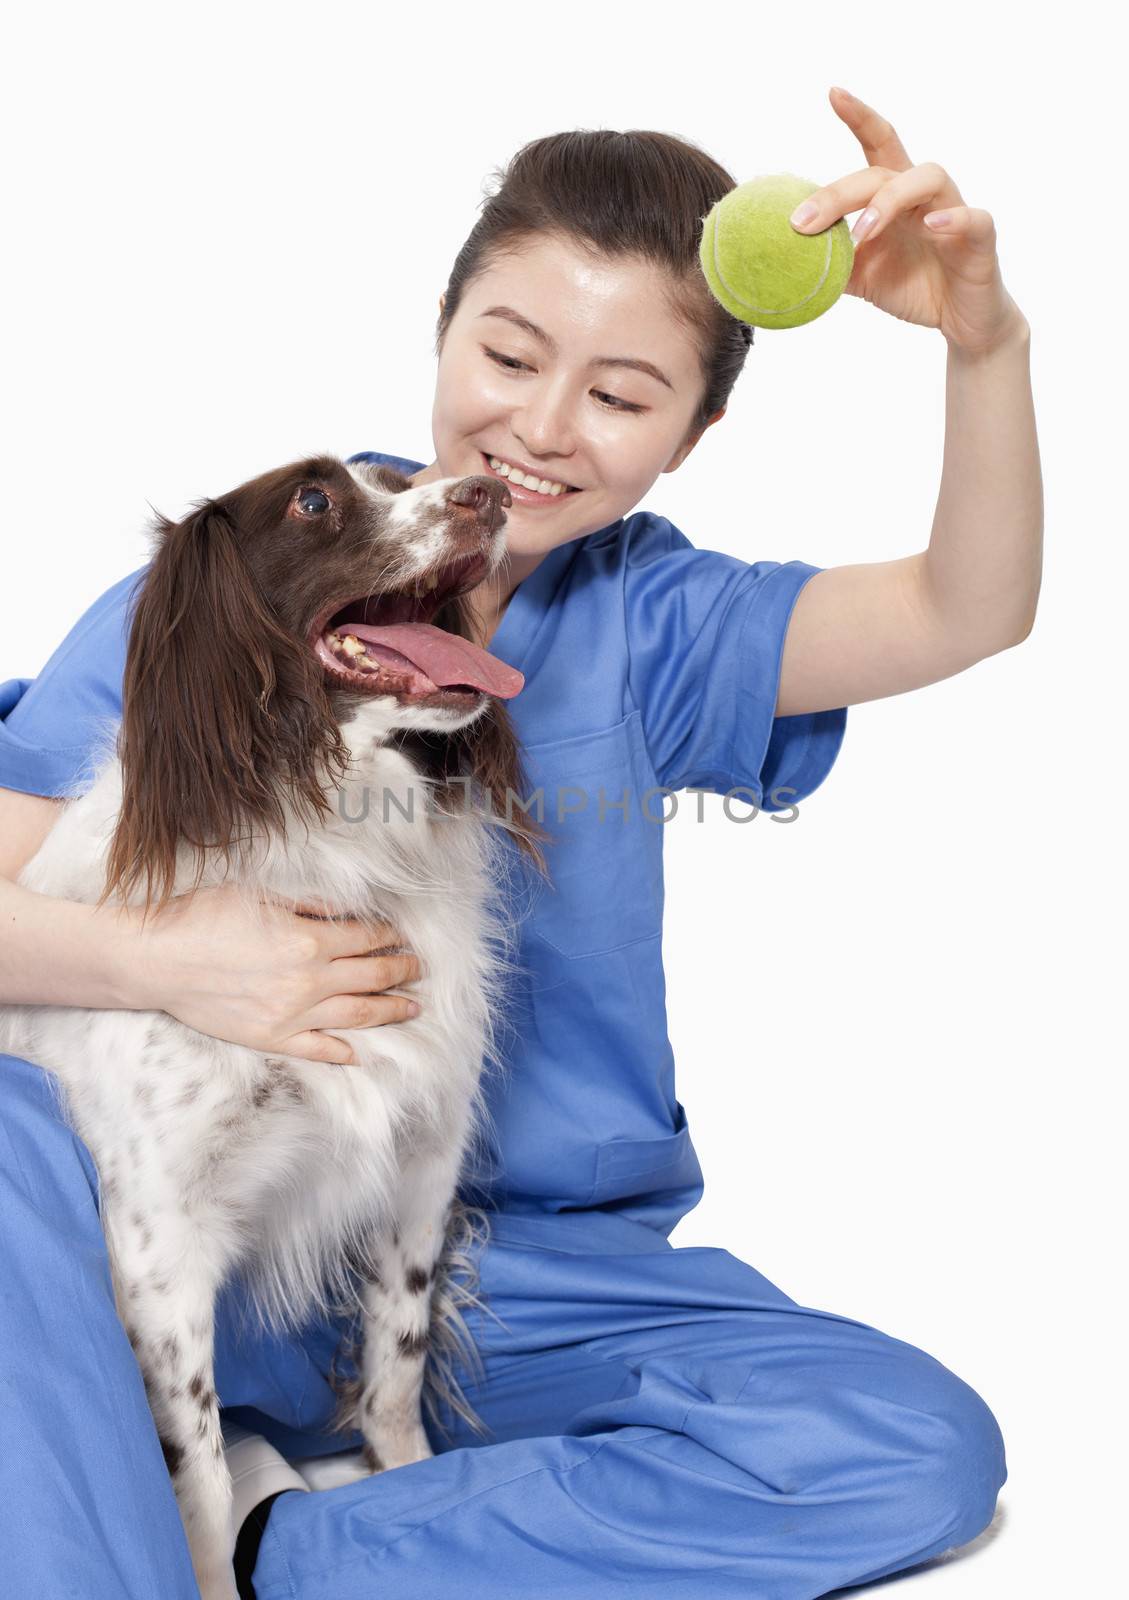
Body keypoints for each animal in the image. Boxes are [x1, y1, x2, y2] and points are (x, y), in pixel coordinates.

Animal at [0, 454, 543, 1600]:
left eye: (403, 473)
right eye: (313, 501)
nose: (487, 491)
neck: (330, 834)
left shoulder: (421, 1163)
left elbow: (396, 1356)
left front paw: (406, 1482)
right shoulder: (158, 1241)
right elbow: (199, 1467)